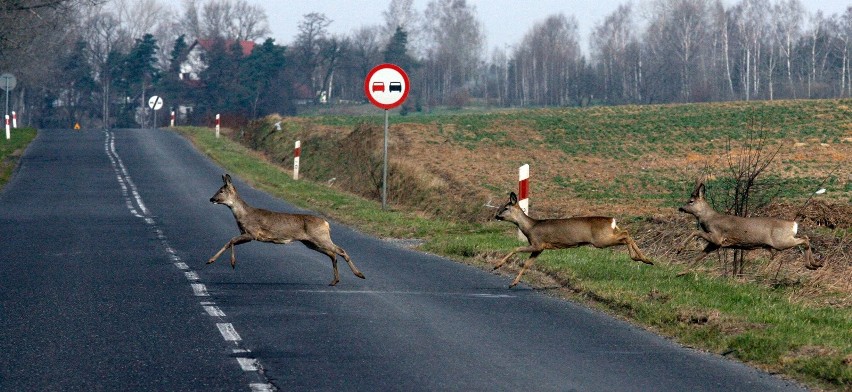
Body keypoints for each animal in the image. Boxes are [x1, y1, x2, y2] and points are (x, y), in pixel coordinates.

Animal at [210, 174, 366, 284]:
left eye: (221, 190)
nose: (212, 199)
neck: (243, 215)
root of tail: (326, 223)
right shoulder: (247, 234)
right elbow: (230, 242)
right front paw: (213, 260)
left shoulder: (252, 233)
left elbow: (231, 240)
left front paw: (229, 263)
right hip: (311, 242)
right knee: (332, 254)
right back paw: (335, 281)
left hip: (320, 237)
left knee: (340, 250)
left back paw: (359, 274)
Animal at [492, 193, 652, 288]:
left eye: (505, 207)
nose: (496, 215)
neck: (530, 227)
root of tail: (612, 220)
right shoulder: (540, 248)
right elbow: (527, 264)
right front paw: (513, 283)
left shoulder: (537, 243)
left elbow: (516, 249)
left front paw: (497, 265)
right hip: (606, 236)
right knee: (626, 233)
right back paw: (645, 259)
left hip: (601, 240)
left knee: (626, 234)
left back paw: (642, 259)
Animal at [676, 182, 824, 272]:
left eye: (691, 201)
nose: (681, 208)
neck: (708, 219)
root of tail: (793, 224)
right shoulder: (715, 244)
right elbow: (699, 256)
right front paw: (682, 272)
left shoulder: (717, 237)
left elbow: (695, 231)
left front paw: (679, 249)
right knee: (805, 238)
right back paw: (815, 264)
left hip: (780, 241)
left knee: (804, 239)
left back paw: (811, 264)